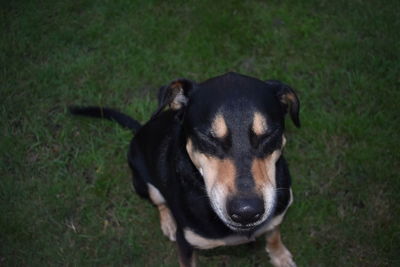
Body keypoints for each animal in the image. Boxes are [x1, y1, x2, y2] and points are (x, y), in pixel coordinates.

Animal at [69, 72, 300, 266]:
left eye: (270, 134)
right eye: (208, 136)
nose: (246, 212)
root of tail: (140, 130)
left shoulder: (276, 217)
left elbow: (274, 235)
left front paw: (279, 256)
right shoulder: (186, 244)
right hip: (144, 184)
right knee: (160, 203)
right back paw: (169, 223)